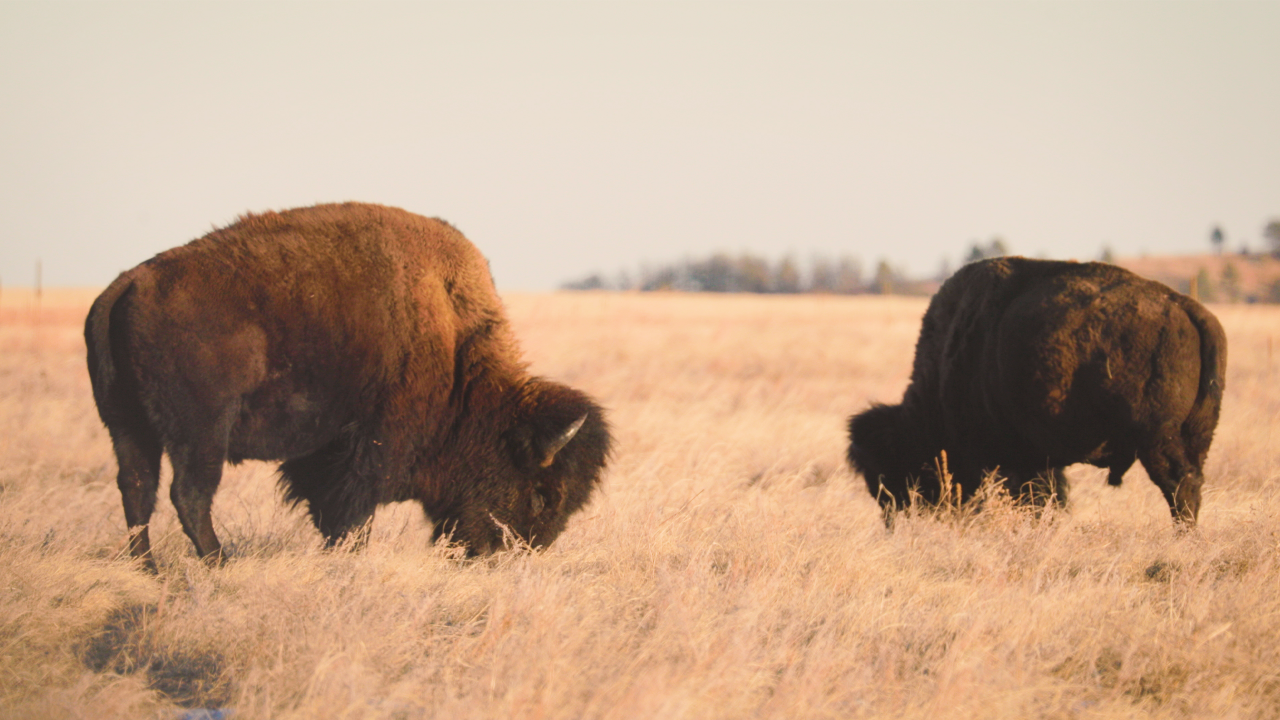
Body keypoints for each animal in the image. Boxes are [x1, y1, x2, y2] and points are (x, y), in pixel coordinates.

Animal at [87, 199, 611, 566]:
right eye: (542, 494)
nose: (501, 557)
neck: (456, 352)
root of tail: (128, 285)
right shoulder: (369, 450)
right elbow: (353, 516)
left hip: (128, 427)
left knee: (137, 490)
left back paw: (148, 571)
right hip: (201, 432)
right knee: (188, 495)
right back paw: (219, 565)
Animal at [844, 254, 1223, 525]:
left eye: (890, 469)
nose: (892, 518)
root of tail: (1182, 306)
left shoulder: (999, 458)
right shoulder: (1035, 458)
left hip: (1157, 440)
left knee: (1179, 486)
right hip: (1197, 435)